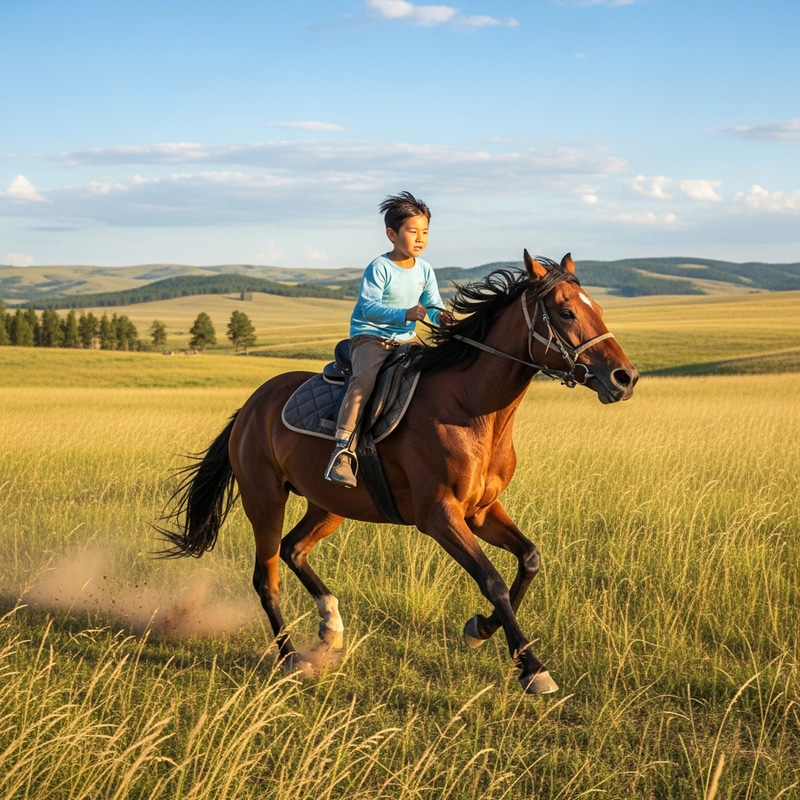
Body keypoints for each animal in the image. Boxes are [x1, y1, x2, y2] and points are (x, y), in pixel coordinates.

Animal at [158, 251, 638, 695]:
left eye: (598, 307)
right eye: (566, 312)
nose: (625, 377)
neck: (471, 408)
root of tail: (250, 407)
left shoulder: (481, 510)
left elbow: (529, 559)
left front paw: (480, 630)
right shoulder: (439, 516)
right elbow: (493, 580)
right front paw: (532, 668)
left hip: (329, 503)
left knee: (294, 549)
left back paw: (331, 625)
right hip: (265, 500)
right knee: (267, 578)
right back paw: (292, 658)